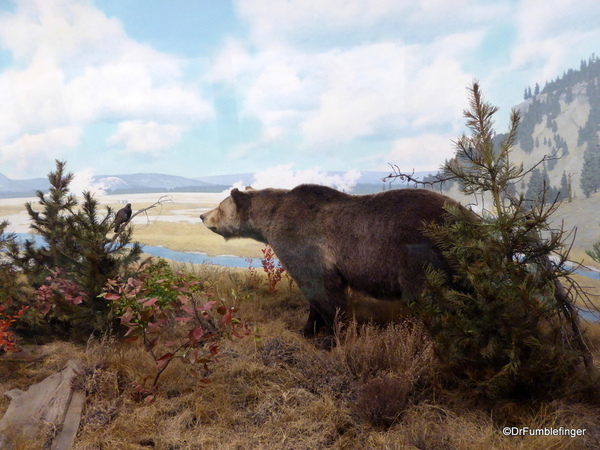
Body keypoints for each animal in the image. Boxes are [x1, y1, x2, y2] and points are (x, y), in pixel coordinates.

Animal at [200, 184, 460, 338]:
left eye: (220, 206)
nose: (202, 215)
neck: (270, 219)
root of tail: (463, 214)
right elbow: (315, 298)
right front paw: (308, 329)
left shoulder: (304, 244)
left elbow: (324, 292)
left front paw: (332, 335)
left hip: (419, 257)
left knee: (427, 300)